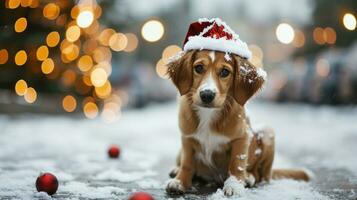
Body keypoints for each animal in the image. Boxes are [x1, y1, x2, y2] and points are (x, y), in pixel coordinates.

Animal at [165, 50, 310, 195]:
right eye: (199, 68)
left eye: (225, 72)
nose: (207, 95)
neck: (208, 114)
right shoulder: (186, 137)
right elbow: (187, 163)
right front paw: (180, 182)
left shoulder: (242, 137)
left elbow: (237, 163)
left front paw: (234, 185)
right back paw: (176, 170)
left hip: (268, 133)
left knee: (262, 175)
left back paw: (249, 177)